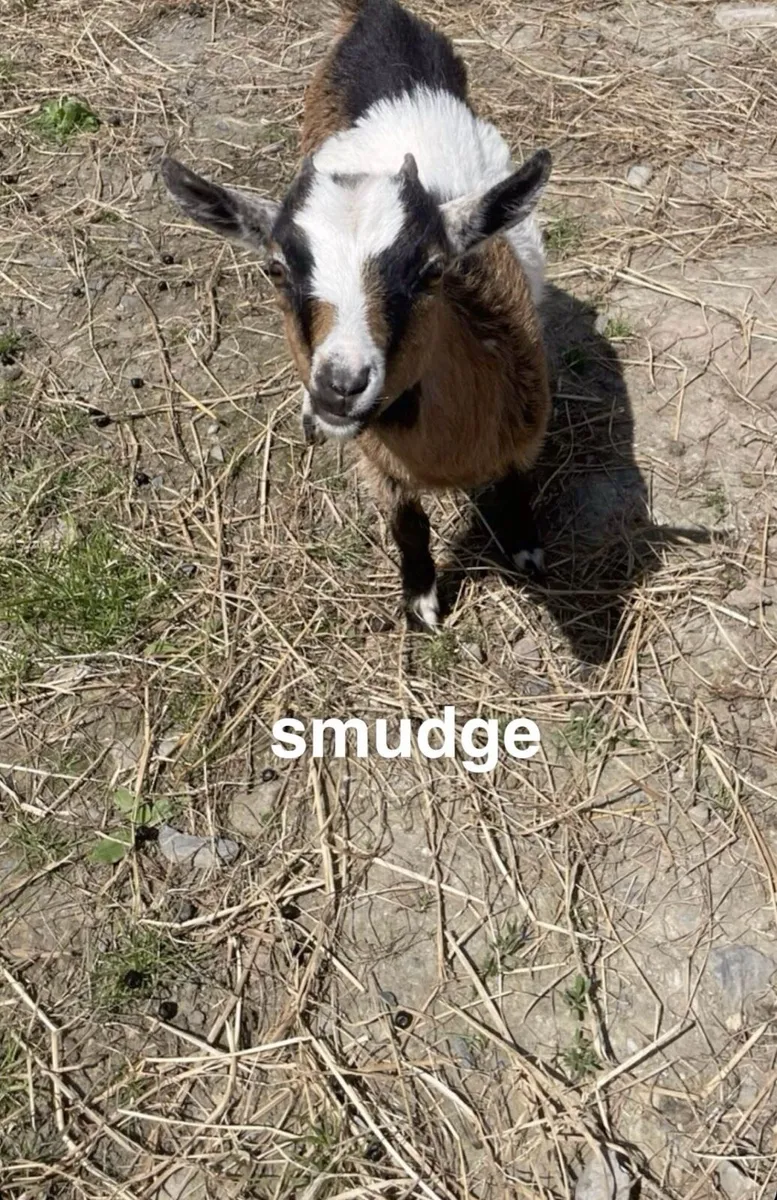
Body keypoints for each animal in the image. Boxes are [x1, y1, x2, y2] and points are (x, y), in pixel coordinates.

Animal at [161, 0, 552, 629]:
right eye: (275, 269)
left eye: (432, 271)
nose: (341, 385)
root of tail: (376, 13)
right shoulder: (377, 466)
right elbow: (408, 525)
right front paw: (421, 603)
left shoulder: (529, 422)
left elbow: (518, 482)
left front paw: (525, 548)